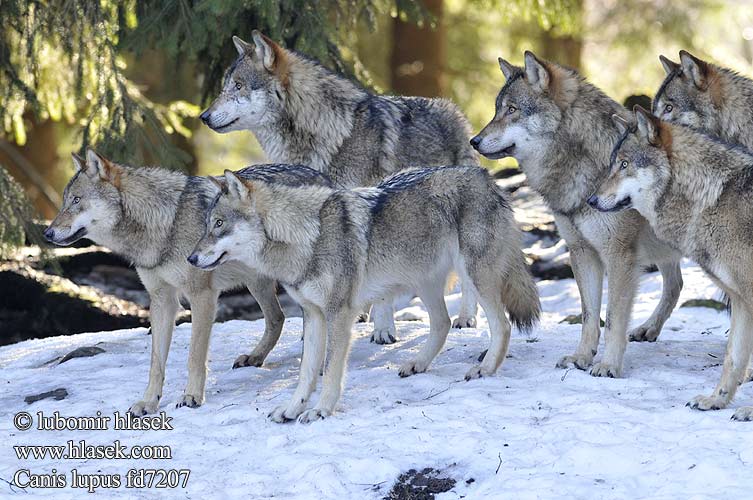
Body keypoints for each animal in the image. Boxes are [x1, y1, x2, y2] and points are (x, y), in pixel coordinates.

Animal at [44, 150, 330, 416]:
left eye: (76, 200)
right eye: (64, 201)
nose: (47, 233)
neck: (167, 224)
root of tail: (321, 176)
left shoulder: (202, 296)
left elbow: (194, 356)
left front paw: (192, 396)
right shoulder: (161, 300)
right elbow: (156, 363)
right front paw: (149, 403)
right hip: (256, 282)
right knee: (277, 318)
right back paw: (255, 357)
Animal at [188, 165, 540, 422]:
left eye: (218, 224)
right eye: (205, 225)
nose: (190, 258)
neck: (307, 236)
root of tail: (486, 177)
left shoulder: (339, 314)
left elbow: (330, 370)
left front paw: (320, 410)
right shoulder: (313, 315)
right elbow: (306, 372)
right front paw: (291, 409)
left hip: (473, 277)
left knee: (501, 325)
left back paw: (484, 369)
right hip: (425, 282)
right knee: (440, 325)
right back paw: (418, 365)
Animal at [198, 30, 482, 344]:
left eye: (238, 86)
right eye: (225, 86)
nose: (203, 116)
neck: (323, 133)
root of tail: (454, 111)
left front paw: (383, 331)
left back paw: (466, 317)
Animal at [468, 52, 684, 376]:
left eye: (512, 109)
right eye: (497, 110)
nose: (474, 141)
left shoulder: (618, 256)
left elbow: (613, 319)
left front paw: (608, 365)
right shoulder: (582, 251)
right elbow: (589, 315)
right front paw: (581, 357)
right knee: (676, 285)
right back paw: (649, 329)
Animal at [592, 105, 752, 422]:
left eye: (625, 164)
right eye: (613, 164)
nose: (591, 200)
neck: (714, 196)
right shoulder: (740, 301)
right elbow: (733, 357)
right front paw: (715, 401)